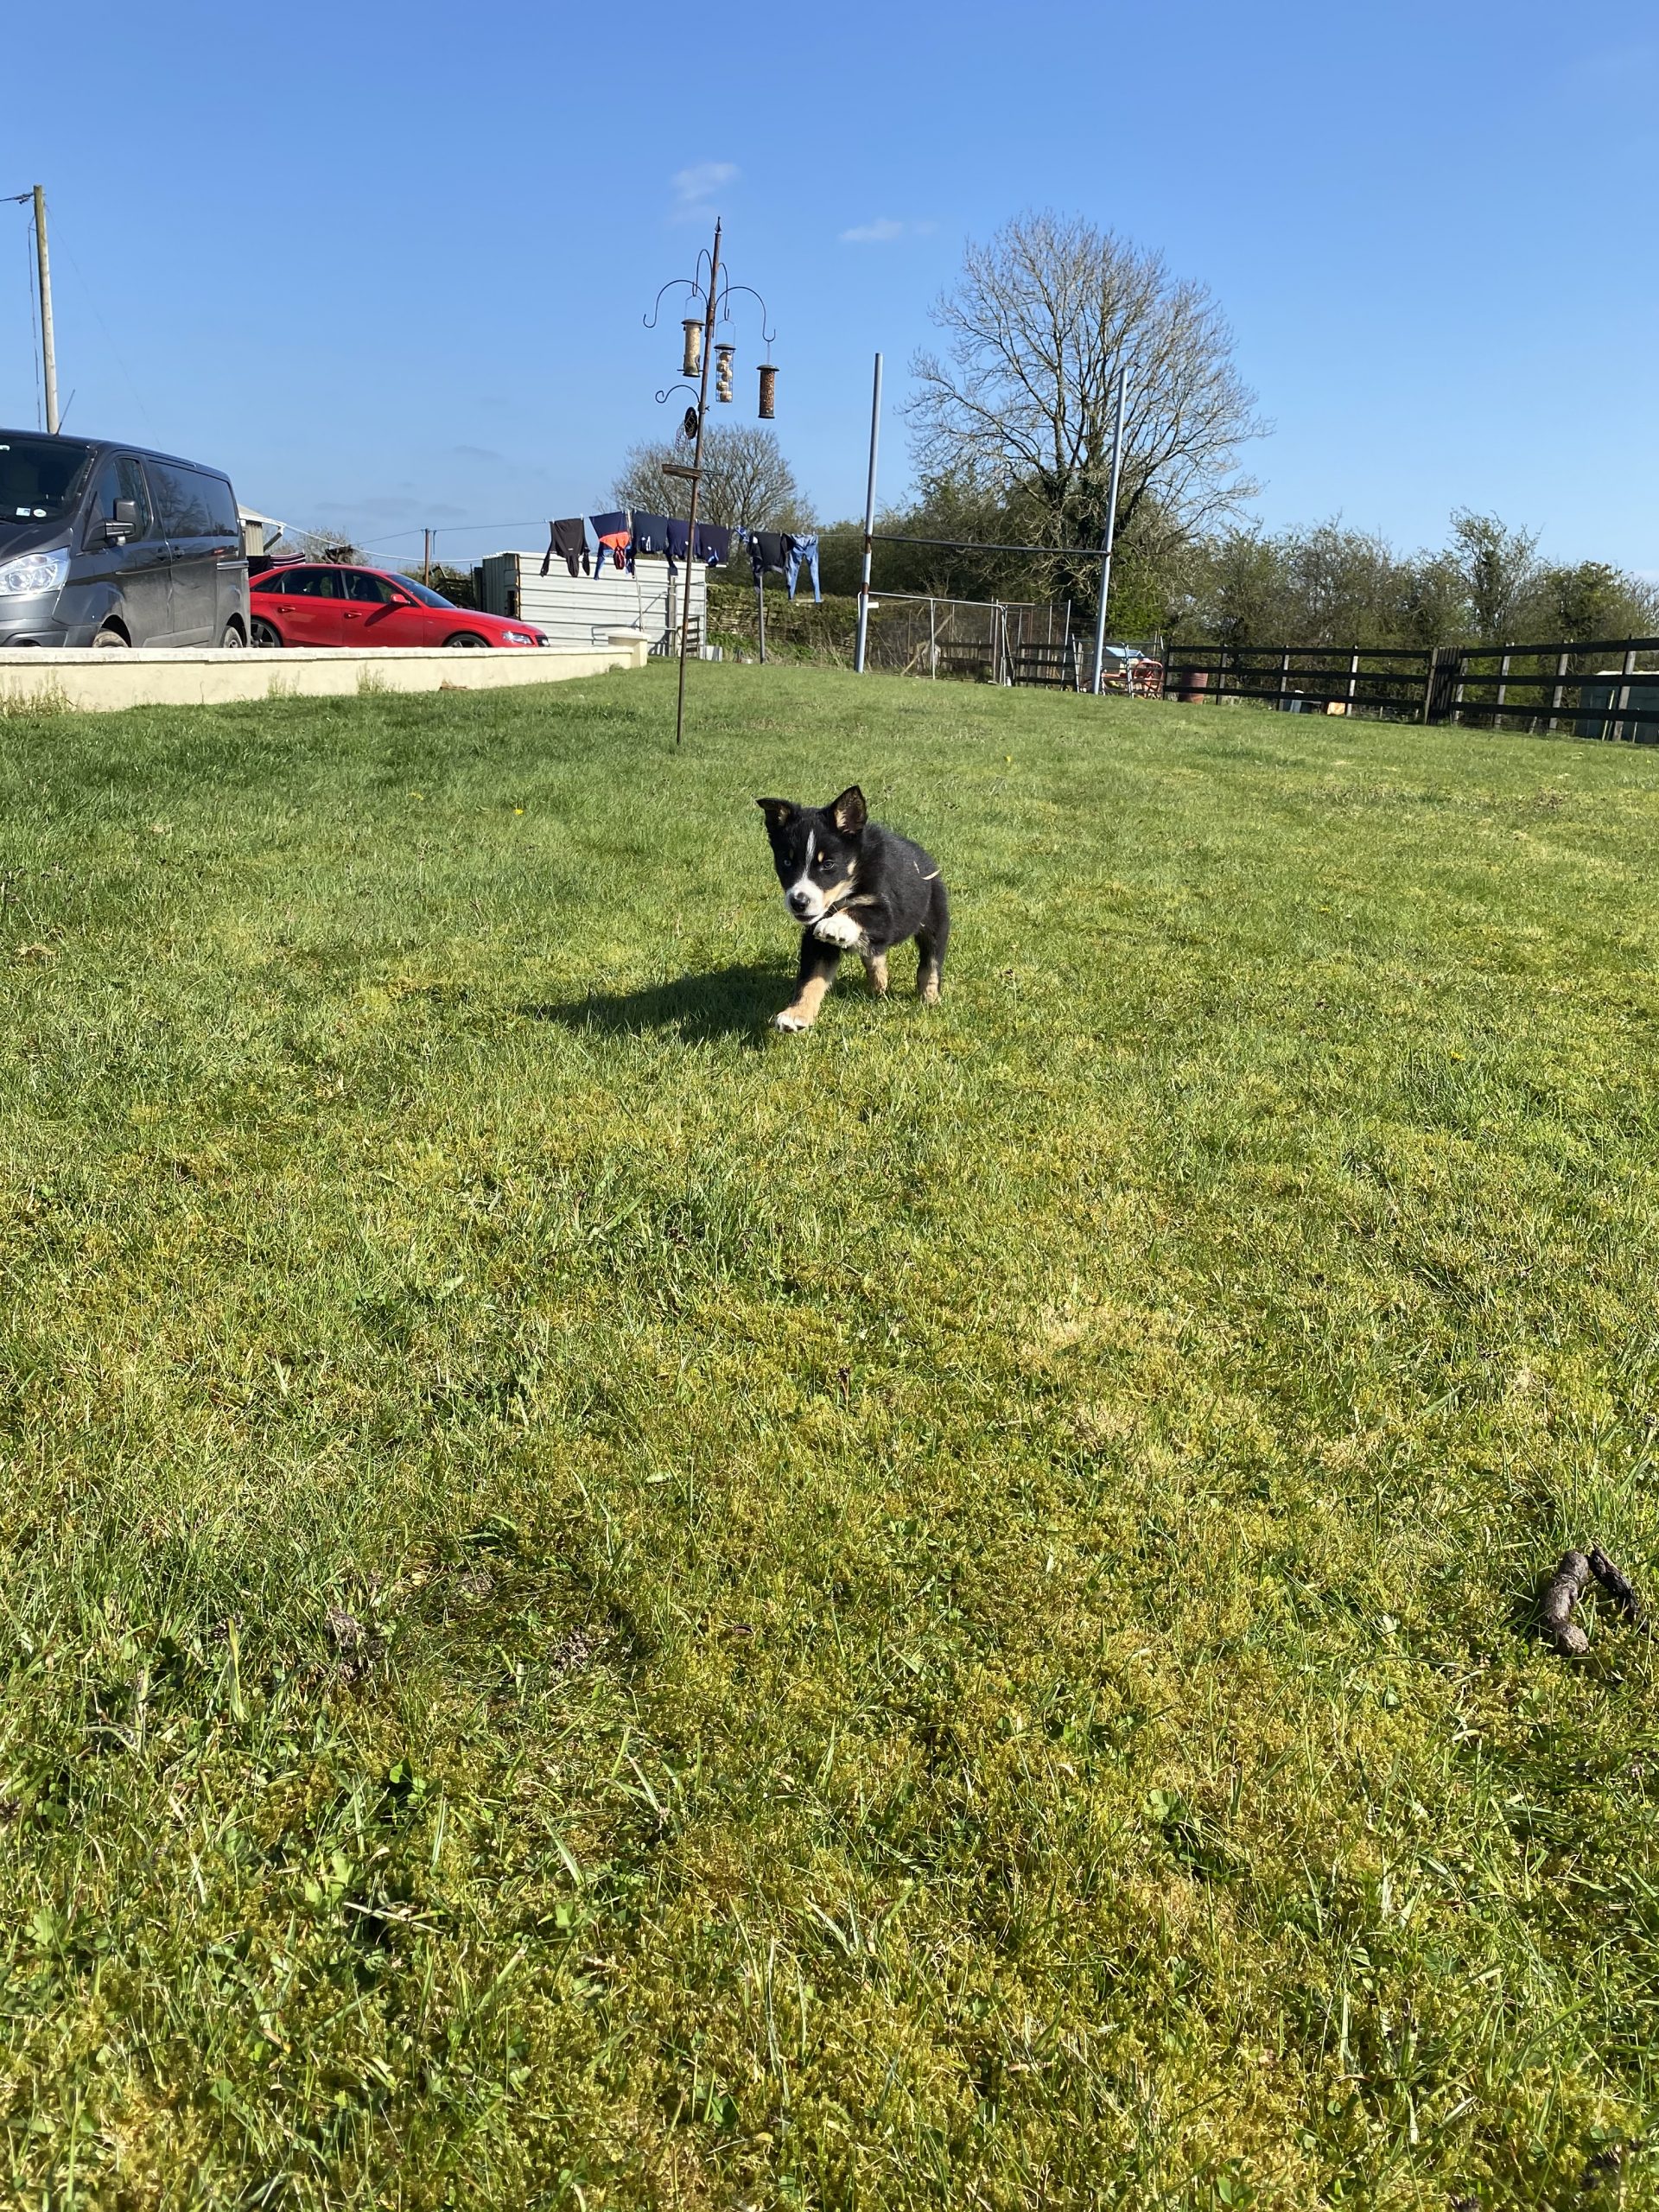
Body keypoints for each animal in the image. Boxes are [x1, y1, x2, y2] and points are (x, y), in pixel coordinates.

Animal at [756, 787, 946, 1035]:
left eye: (828, 864)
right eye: (787, 862)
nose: (799, 902)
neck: (849, 883)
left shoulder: (887, 914)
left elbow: (858, 911)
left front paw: (836, 924)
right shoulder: (815, 941)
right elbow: (810, 979)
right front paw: (796, 1014)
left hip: (935, 916)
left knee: (930, 962)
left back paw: (930, 998)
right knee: (874, 954)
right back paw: (879, 984)